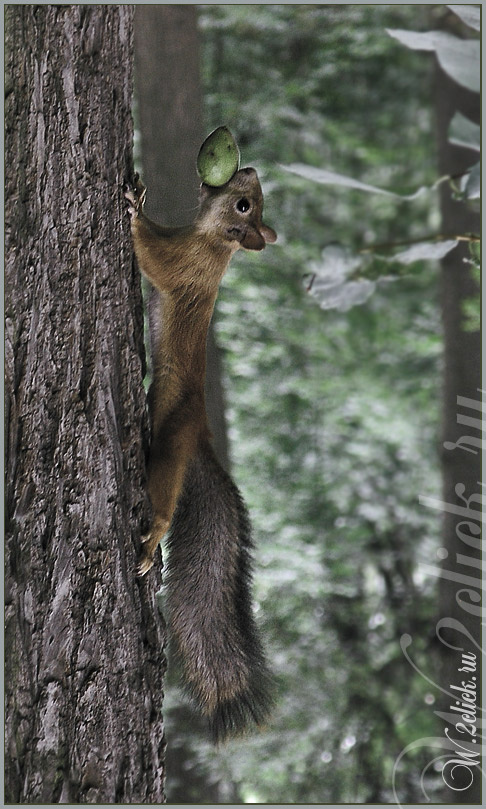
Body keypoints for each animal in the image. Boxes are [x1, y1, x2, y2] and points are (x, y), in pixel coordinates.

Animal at [125, 165, 277, 742]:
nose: (248, 168)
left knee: (164, 499)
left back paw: (152, 539)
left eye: (243, 205)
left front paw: (133, 208)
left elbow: (152, 258)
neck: (209, 240)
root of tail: (202, 439)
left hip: (169, 442)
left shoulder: (183, 264)